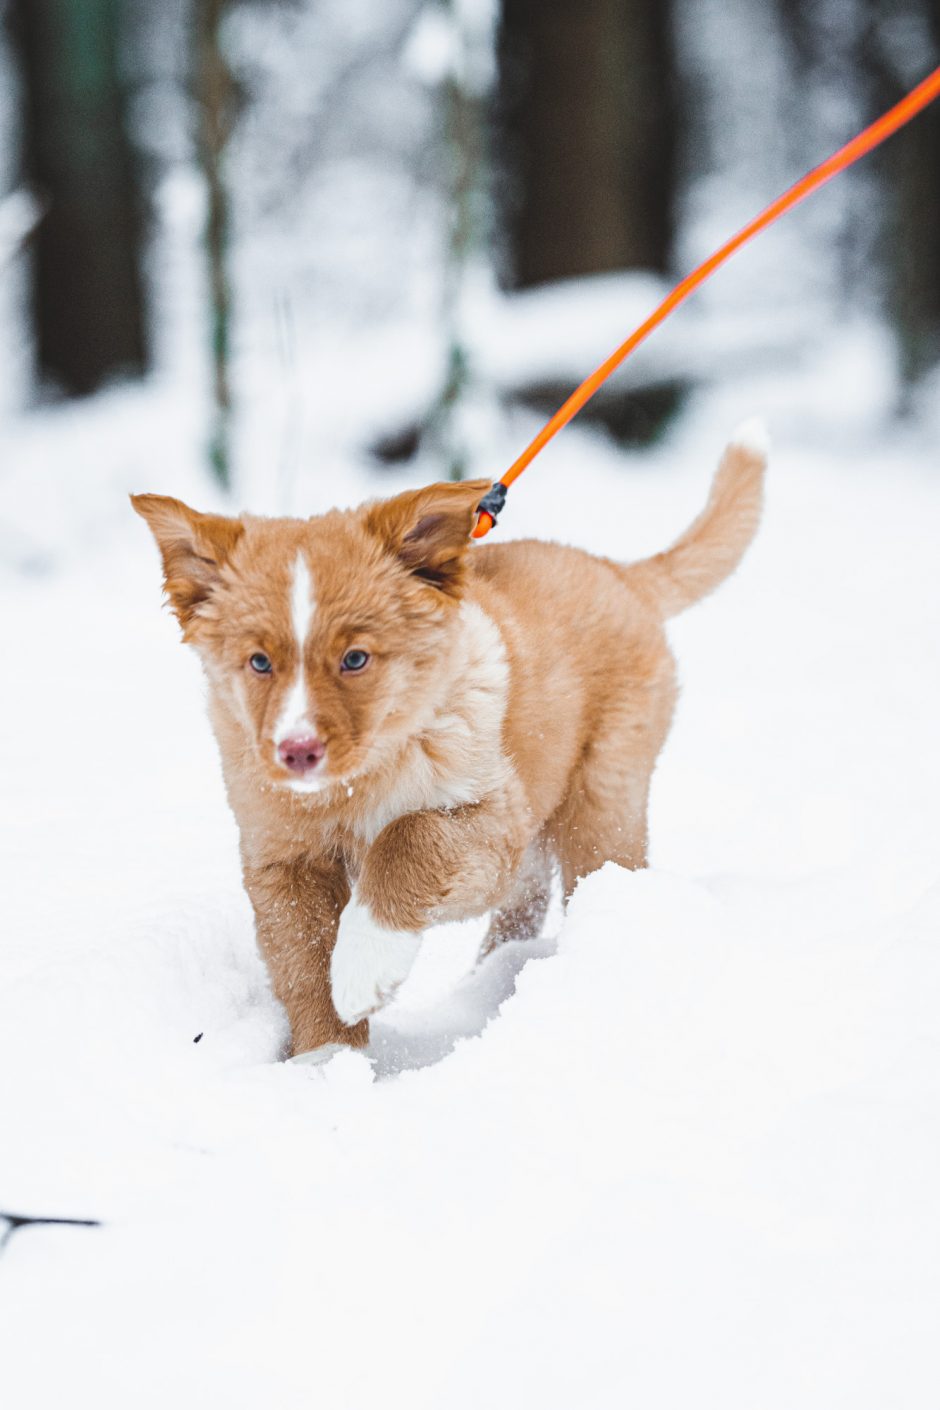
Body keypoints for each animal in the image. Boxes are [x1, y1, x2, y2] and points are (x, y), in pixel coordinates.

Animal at [130, 423, 766, 1060]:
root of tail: (616, 571)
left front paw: (363, 971)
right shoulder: (282, 857)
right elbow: (304, 960)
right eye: (259, 662)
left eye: (355, 658)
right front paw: (326, 1059)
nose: (297, 752)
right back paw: (487, 982)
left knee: (603, 876)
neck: (358, 784)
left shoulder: (489, 817)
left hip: (603, 796)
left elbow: (408, 839)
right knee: (526, 901)